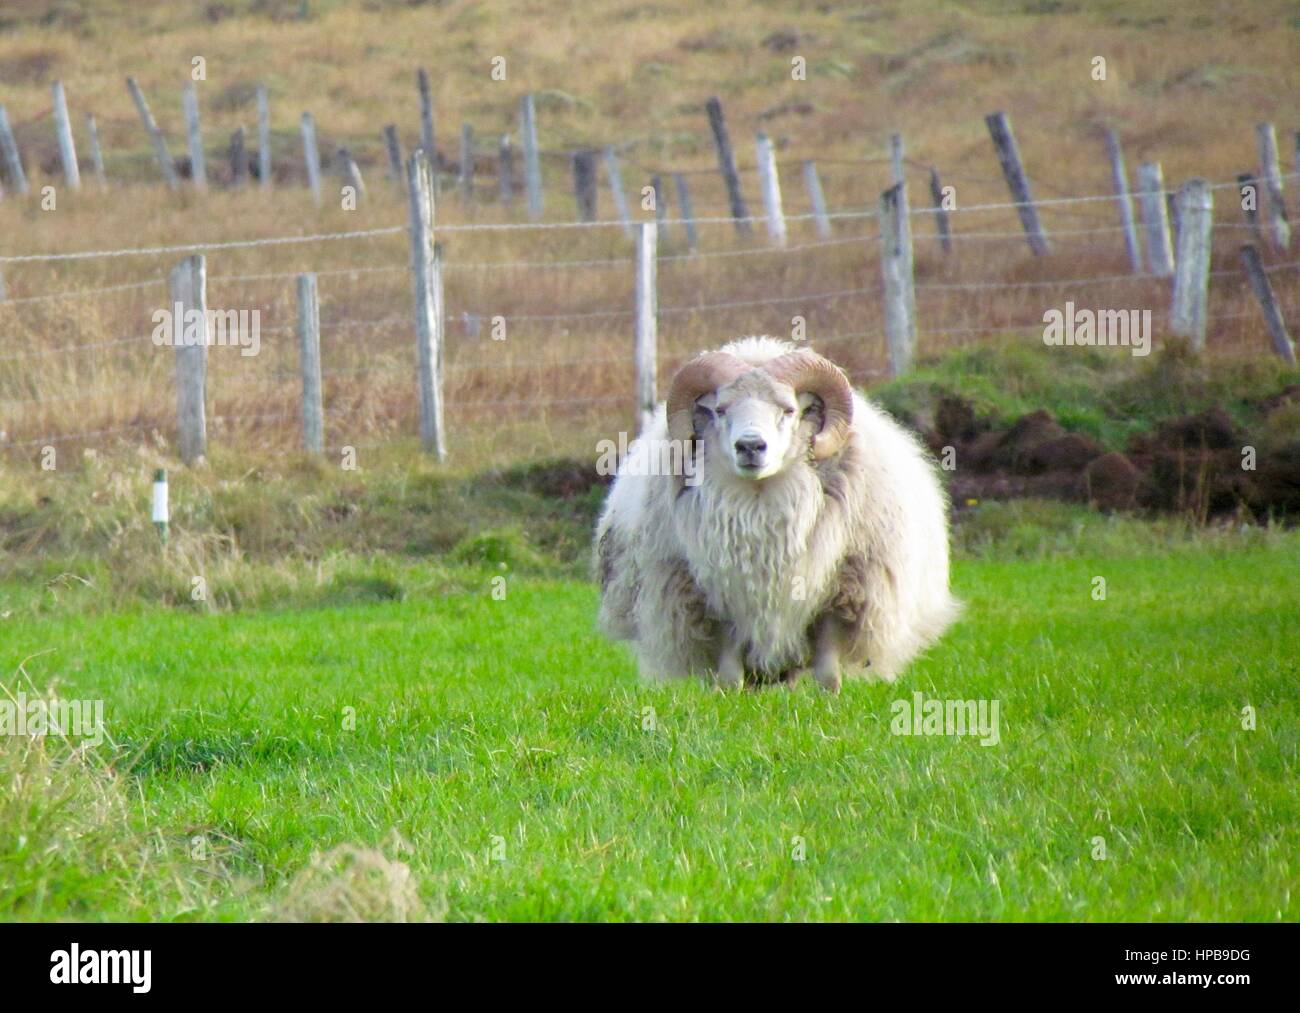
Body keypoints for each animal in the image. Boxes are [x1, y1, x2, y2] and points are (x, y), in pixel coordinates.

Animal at [595, 335, 961, 691]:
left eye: (789, 410)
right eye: (721, 410)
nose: (750, 446)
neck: (759, 504)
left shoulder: (840, 597)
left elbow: (828, 673)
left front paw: (828, 701)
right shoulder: (718, 600)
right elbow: (729, 674)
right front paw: (729, 699)